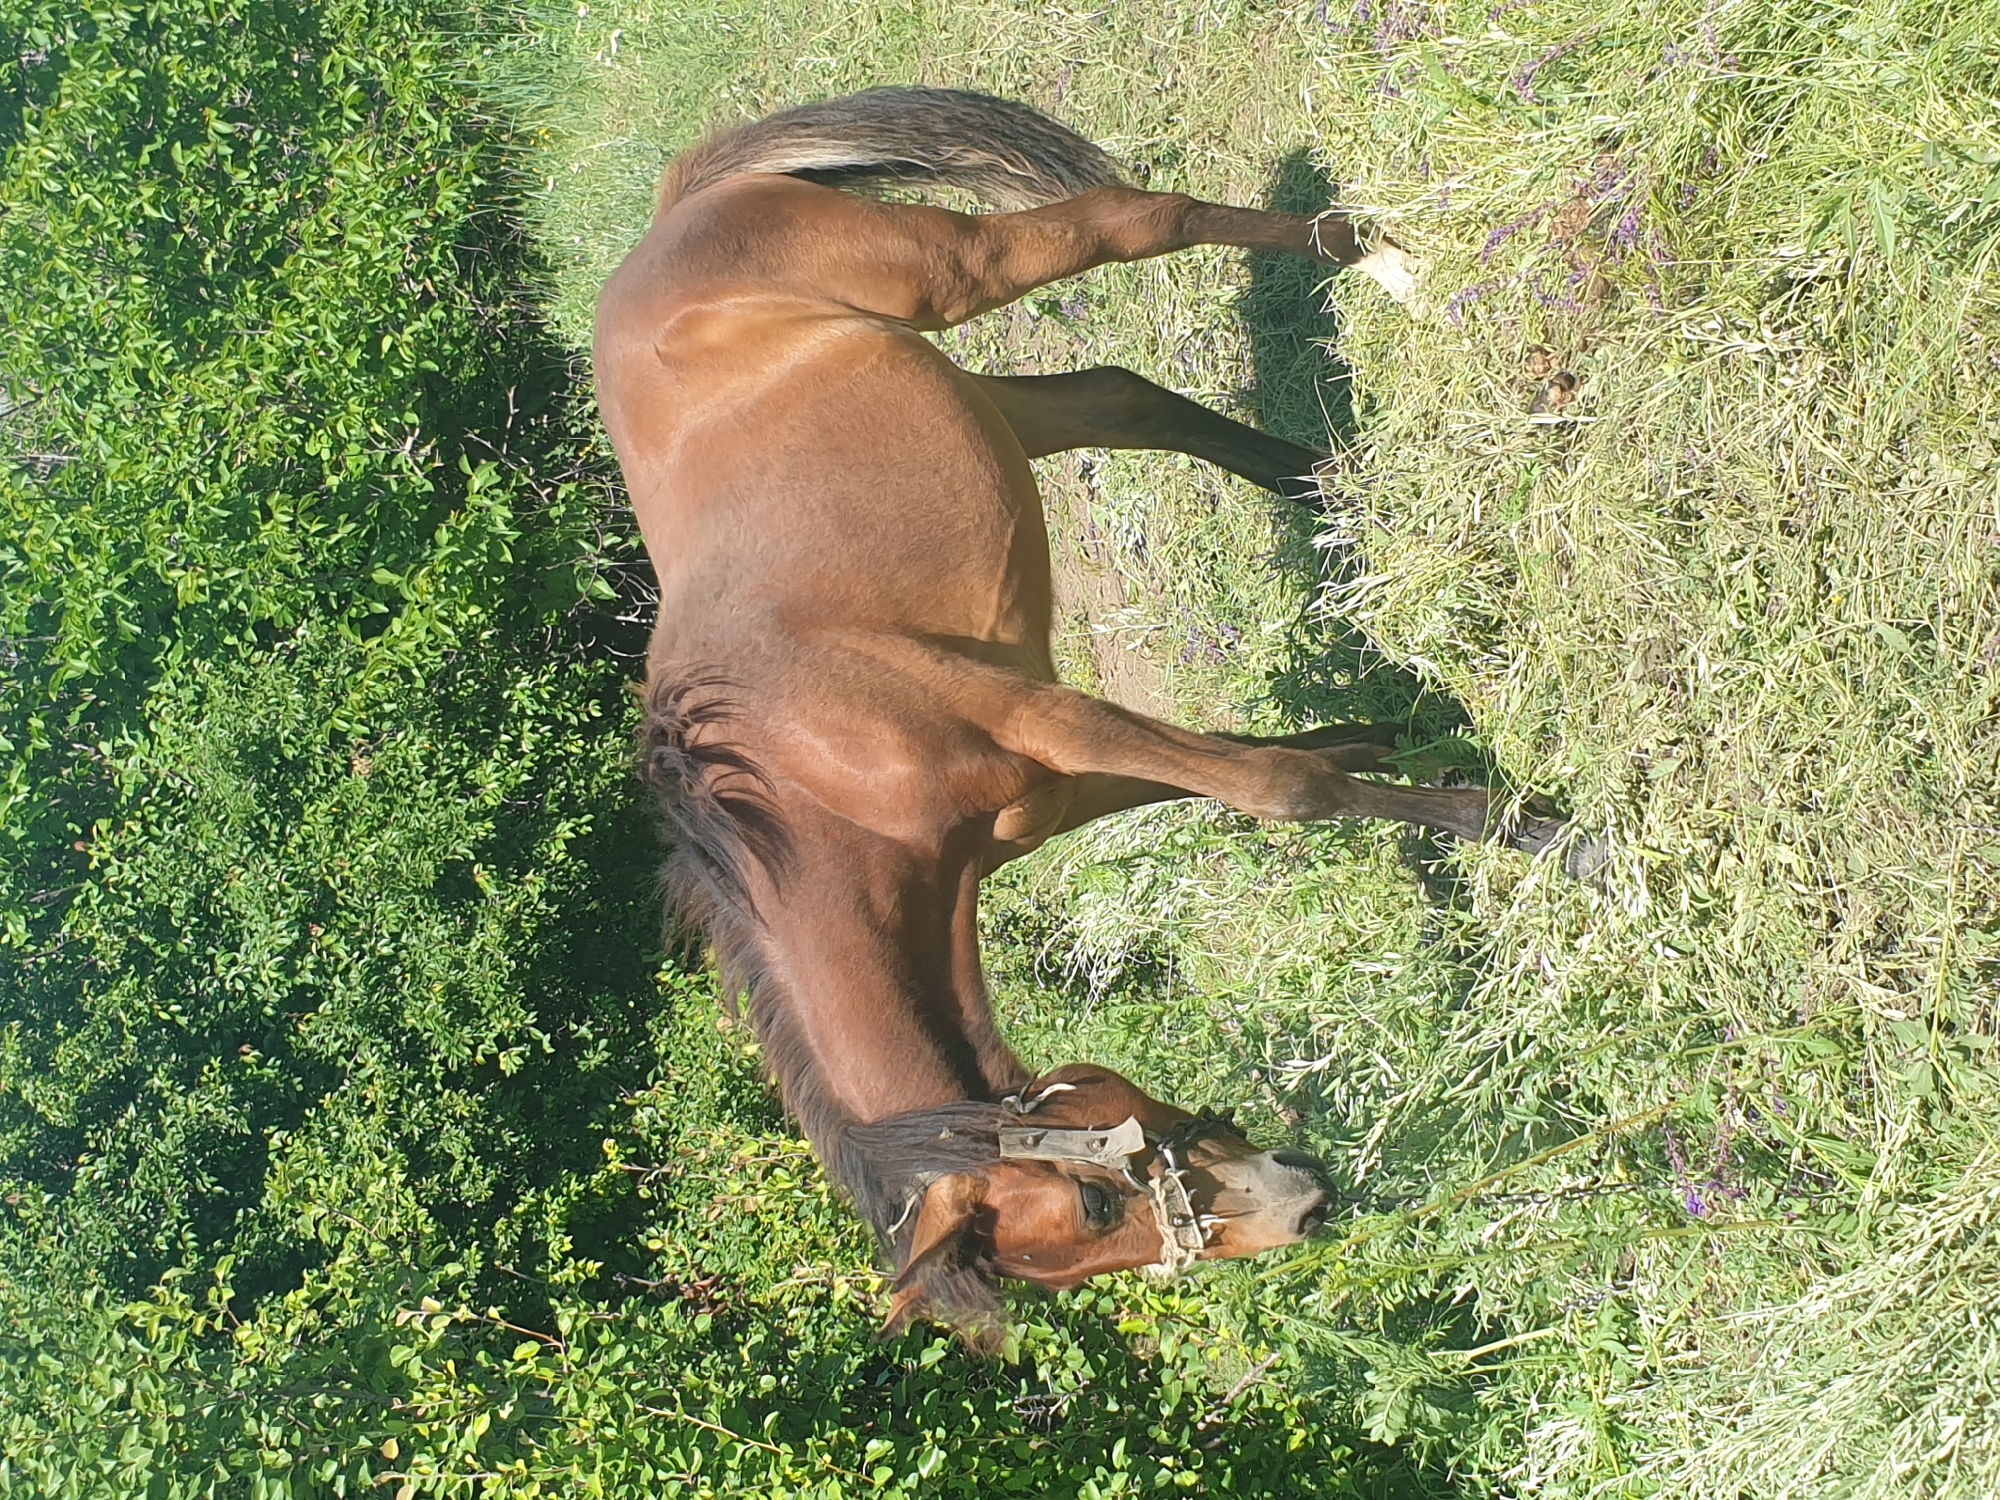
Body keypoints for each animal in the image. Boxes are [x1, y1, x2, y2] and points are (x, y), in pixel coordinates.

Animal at [594, 87, 1561, 1342]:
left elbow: (1275, 787)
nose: (1299, 1205)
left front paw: (1537, 832)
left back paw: (1380, 260)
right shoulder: (1054, 787)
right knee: (1119, 393)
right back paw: (1327, 483)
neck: (815, 788)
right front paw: (1404, 740)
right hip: (988, 402)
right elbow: (1278, 761)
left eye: (1096, 1209)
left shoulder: (1050, 720)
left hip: (947, 273)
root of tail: (672, 217)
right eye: (1095, 1241)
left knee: (1133, 222)